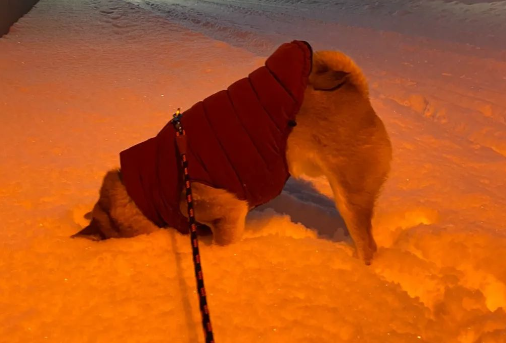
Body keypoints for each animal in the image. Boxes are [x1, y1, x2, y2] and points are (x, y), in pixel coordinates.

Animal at [74, 41, 392, 266]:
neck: (146, 185)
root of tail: (357, 91)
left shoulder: (219, 208)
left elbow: (224, 237)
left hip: (351, 195)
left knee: (368, 243)